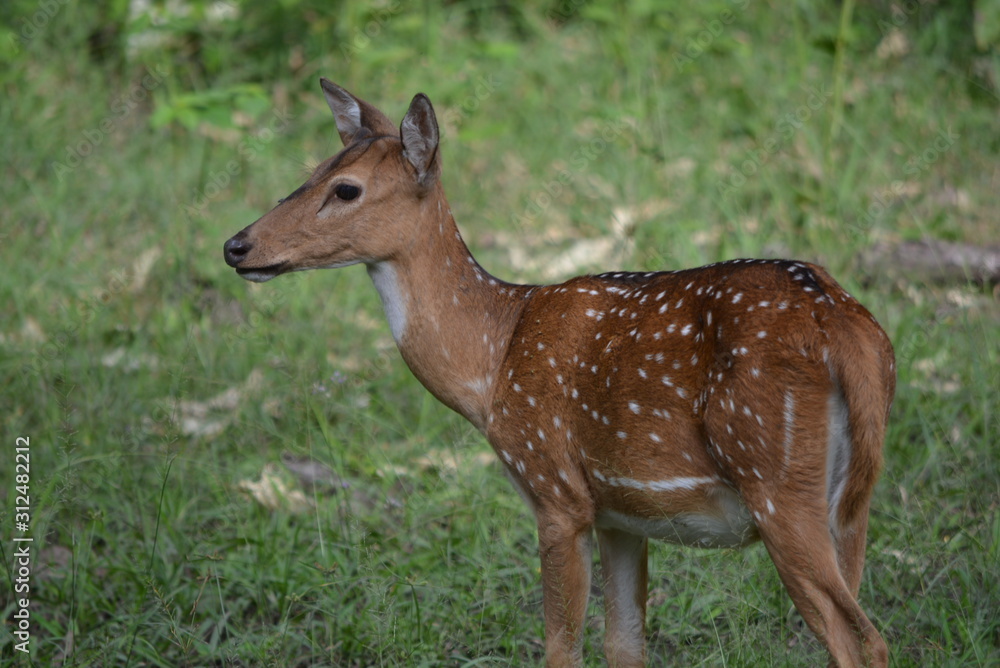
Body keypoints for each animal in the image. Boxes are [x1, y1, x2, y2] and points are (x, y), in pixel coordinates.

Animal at [223, 80, 895, 667]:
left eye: (346, 189)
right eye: (309, 172)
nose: (236, 246)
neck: (493, 364)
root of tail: (843, 325)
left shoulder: (555, 490)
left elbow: (560, 650)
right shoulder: (621, 512)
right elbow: (624, 646)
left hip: (775, 474)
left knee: (863, 639)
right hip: (851, 495)